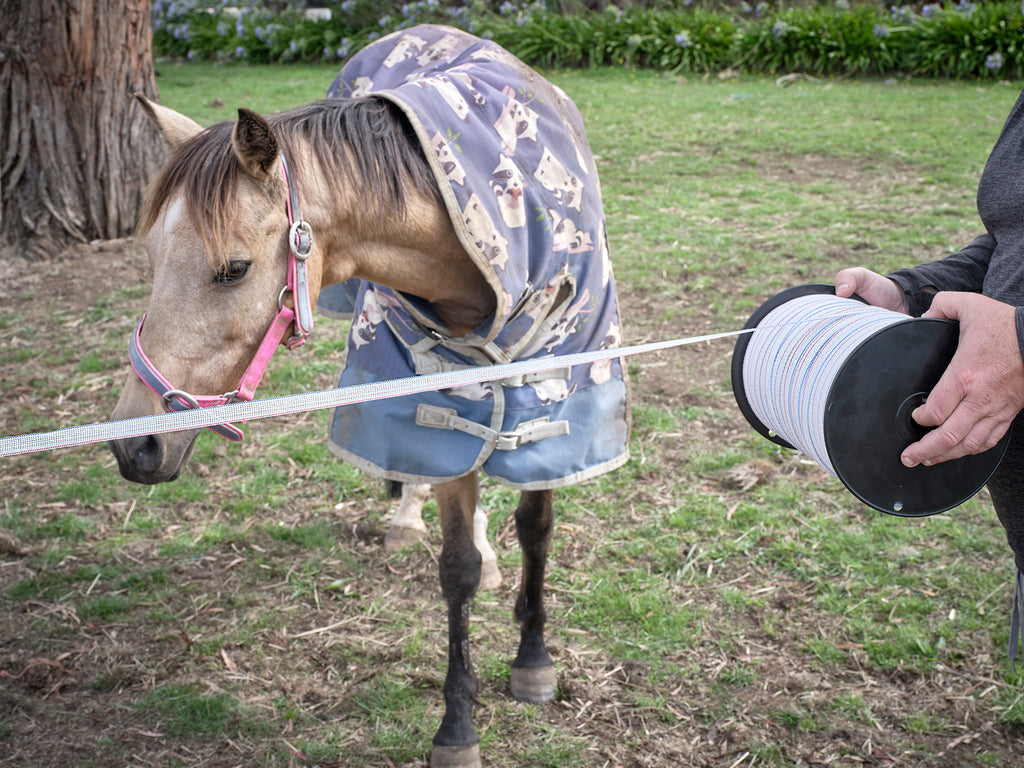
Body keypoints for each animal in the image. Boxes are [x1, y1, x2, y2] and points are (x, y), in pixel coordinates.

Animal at [108, 24, 626, 768]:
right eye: (149, 257)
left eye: (233, 269)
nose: (134, 445)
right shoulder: (437, 401)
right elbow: (457, 566)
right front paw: (458, 727)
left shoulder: (559, 394)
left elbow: (537, 527)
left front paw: (532, 659)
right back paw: (406, 514)